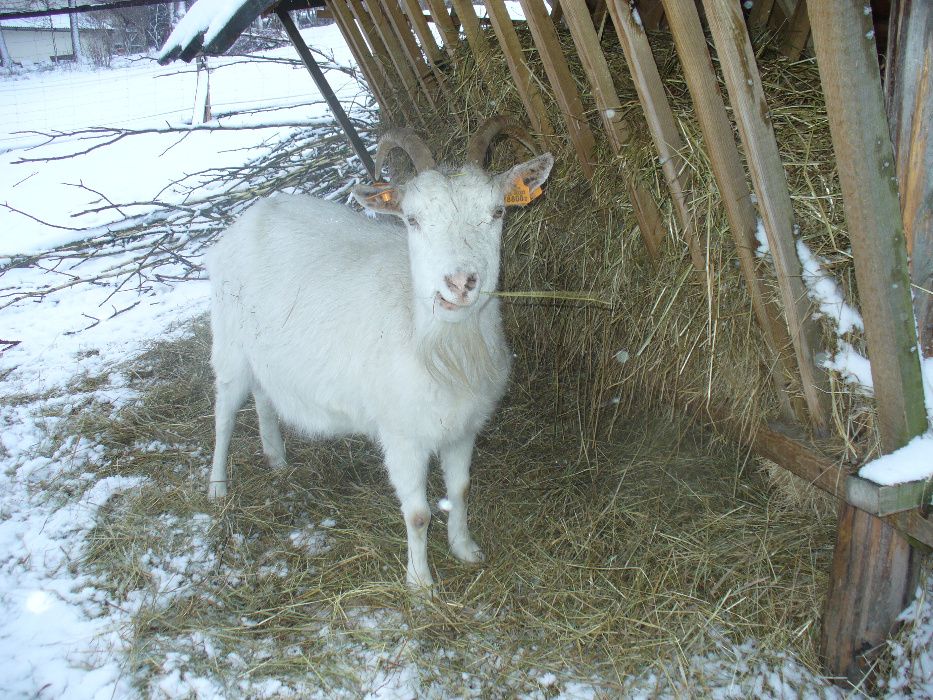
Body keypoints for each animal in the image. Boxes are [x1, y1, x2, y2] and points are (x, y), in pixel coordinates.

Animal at [206, 116, 552, 584]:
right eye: (413, 219)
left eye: (497, 213)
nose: (461, 283)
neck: (438, 348)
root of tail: (247, 217)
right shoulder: (401, 434)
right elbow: (419, 514)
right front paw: (420, 583)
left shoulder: (463, 428)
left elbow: (460, 490)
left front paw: (465, 549)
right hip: (229, 344)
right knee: (224, 413)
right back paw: (217, 487)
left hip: (265, 353)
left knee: (263, 393)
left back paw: (275, 457)